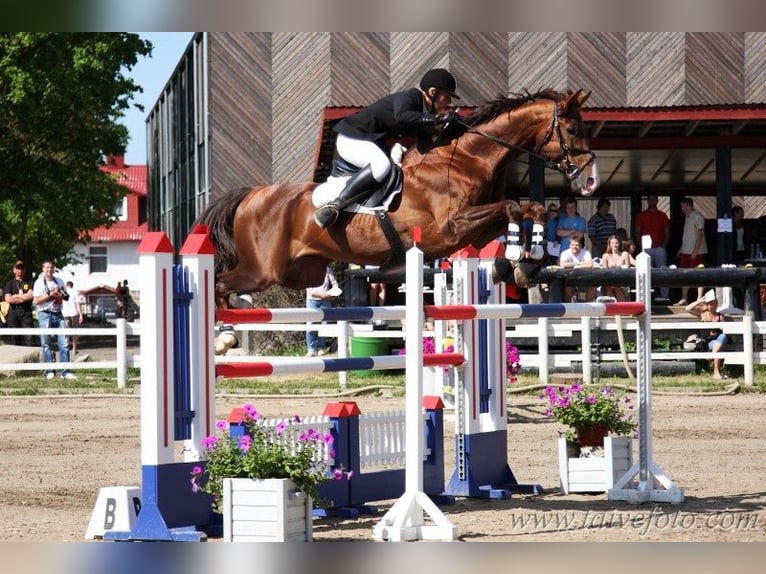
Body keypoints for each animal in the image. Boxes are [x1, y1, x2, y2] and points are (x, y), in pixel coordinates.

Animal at [194, 88, 600, 306]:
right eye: (571, 129)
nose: (591, 181)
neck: (468, 159)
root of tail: (253, 195)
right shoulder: (451, 229)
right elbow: (514, 206)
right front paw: (516, 256)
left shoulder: (478, 229)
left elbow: (531, 208)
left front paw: (527, 260)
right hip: (263, 270)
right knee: (221, 283)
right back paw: (225, 337)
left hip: (301, 273)